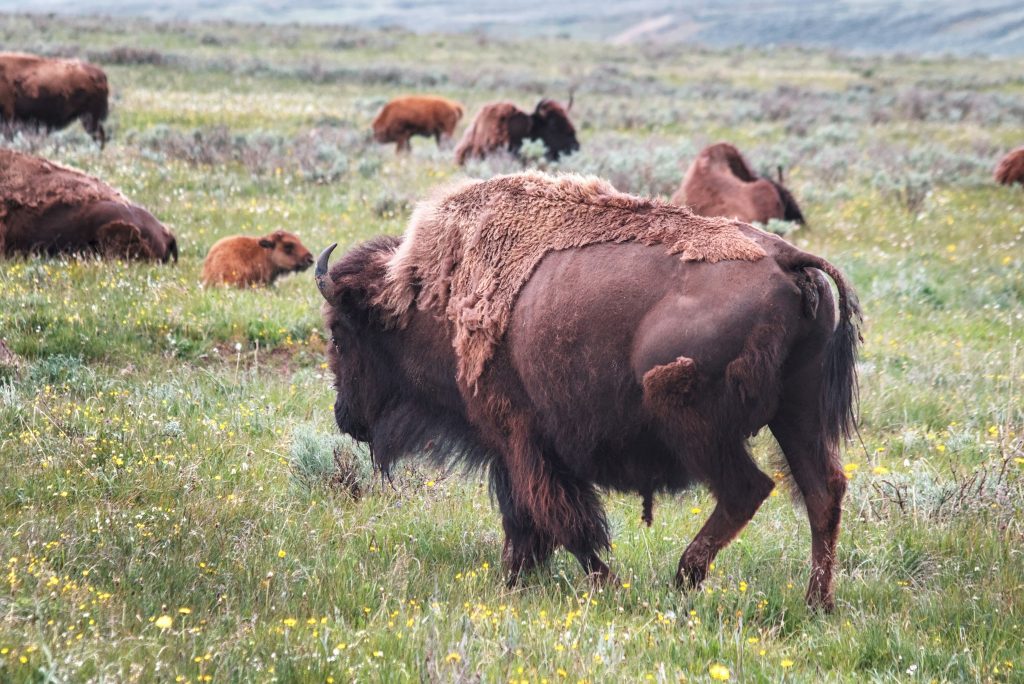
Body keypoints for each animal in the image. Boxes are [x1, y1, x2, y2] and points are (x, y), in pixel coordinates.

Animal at [315, 171, 860, 610]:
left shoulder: (518, 438)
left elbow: (557, 519)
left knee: (748, 488)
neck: (435, 294)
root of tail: (789, 259)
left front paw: (604, 583)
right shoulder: (521, 451)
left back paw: (683, 578)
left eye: (340, 333)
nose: (346, 417)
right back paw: (816, 603)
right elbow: (529, 520)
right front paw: (516, 581)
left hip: (690, 419)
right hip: (797, 412)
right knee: (822, 491)